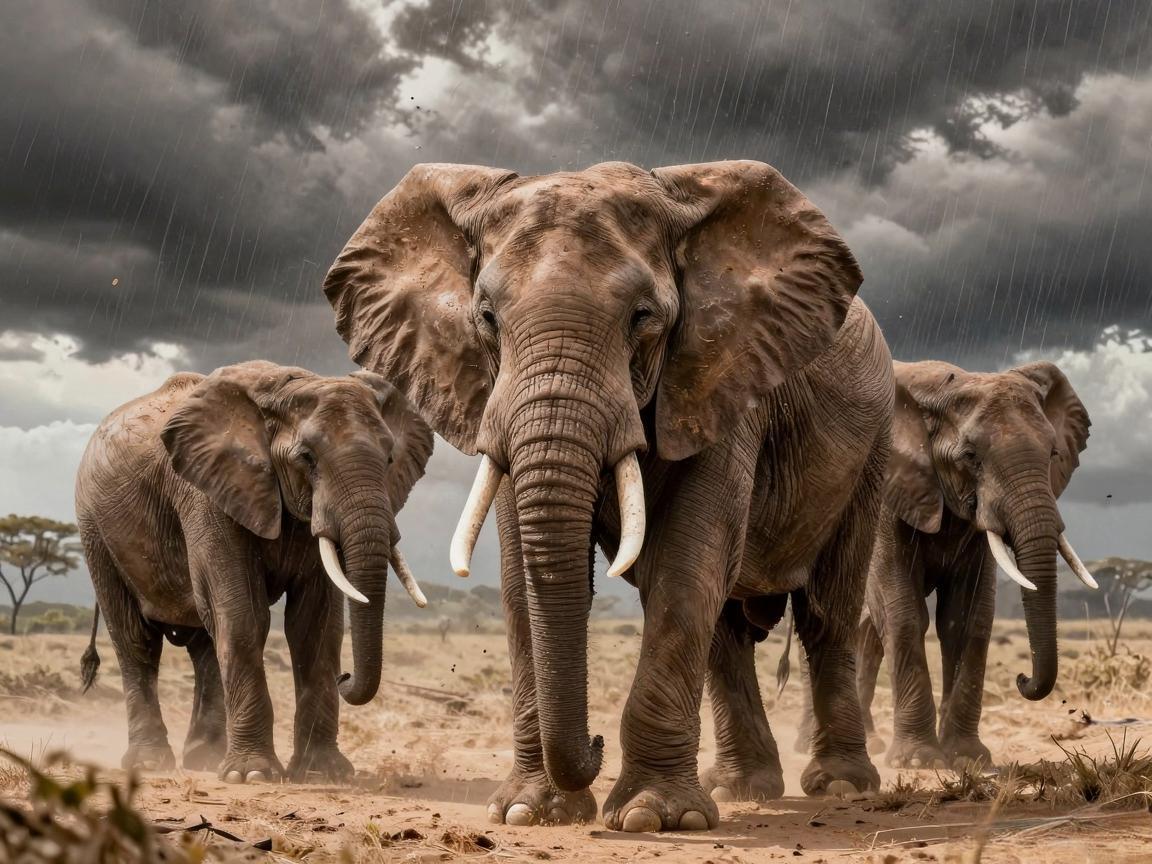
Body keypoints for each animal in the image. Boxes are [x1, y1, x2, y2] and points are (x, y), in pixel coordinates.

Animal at [75, 361, 433, 782]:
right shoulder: (206, 494)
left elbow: (315, 626)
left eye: (390, 458)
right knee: (136, 641)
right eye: (307, 458)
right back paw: (152, 763)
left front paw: (323, 773)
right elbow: (244, 616)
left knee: (205, 646)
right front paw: (252, 775)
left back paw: (204, 759)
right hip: (94, 531)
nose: (345, 679)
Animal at [322, 160, 894, 831]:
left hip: (872, 448)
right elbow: (521, 574)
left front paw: (656, 818)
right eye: (486, 317)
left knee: (828, 613)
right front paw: (529, 811)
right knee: (727, 632)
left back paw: (840, 787)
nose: (594, 743)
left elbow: (688, 560)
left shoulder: (718, 375)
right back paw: (742, 789)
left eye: (642, 317)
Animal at [808, 360, 1093, 769]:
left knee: (865, 634)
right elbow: (903, 614)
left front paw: (967, 758)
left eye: (1054, 452)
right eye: (970, 456)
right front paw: (917, 762)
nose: (1022, 678)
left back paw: (868, 743)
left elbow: (967, 618)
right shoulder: (887, 496)